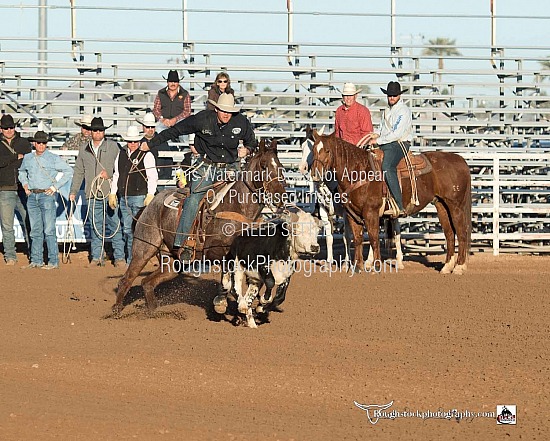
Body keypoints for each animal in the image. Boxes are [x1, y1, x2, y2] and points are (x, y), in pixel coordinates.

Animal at [114, 139, 292, 314]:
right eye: (263, 165)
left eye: (281, 167)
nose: (280, 196)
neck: (237, 206)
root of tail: (149, 205)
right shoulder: (214, 252)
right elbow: (229, 280)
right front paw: (222, 302)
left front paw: (262, 303)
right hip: (144, 248)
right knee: (127, 279)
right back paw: (116, 311)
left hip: (172, 262)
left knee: (147, 282)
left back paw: (152, 313)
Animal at [312, 131, 472, 274]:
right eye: (313, 149)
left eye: (327, 150)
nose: (315, 174)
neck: (358, 171)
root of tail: (460, 160)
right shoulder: (352, 214)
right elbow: (357, 239)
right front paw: (358, 268)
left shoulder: (371, 212)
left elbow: (373, 238)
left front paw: (376, 266)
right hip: (442, 205)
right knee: (449, 233)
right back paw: (447, 267)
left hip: (456, 205)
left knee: (461, 232)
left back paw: (459, 267)